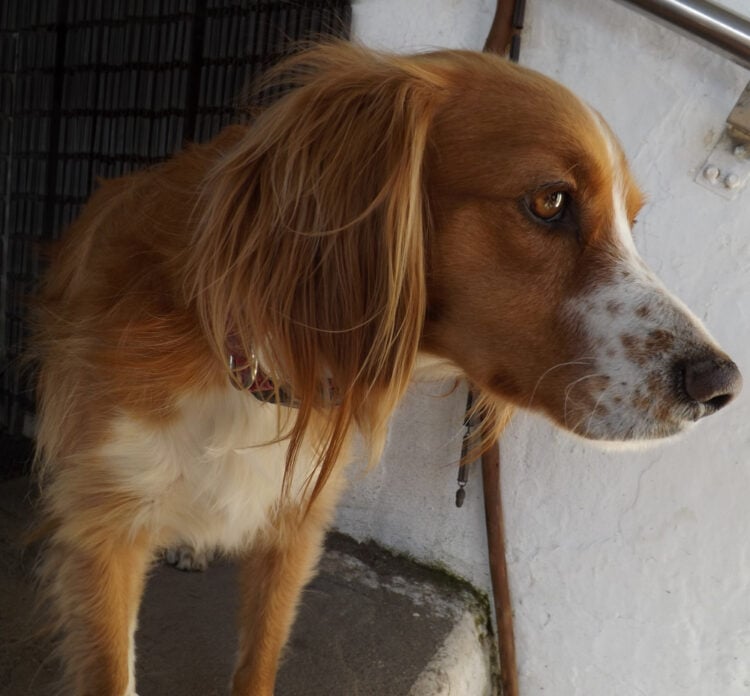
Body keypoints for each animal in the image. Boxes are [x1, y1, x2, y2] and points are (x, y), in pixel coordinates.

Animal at [33, 43, 740, 696]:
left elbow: (259, 658)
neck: (254, 376)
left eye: (632, 220)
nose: (722, 386)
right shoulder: (104, 524)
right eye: (549, 201)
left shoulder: (295, 524)